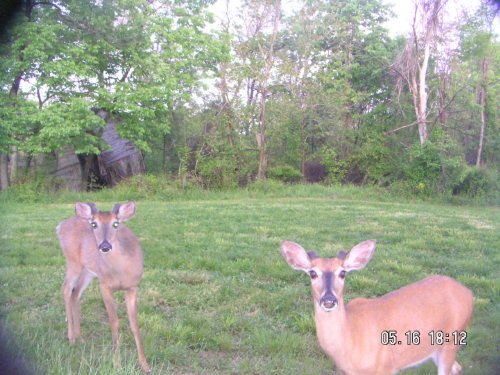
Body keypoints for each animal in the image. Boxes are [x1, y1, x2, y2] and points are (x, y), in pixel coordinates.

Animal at [57, 203, 150, 374]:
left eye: (116, 223)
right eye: (94, 224)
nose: (104, 246)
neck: (121, 271)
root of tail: (60, 225)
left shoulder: (133, 287)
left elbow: (134, 324)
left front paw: (144, 364)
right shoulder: (104, 285)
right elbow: (114, 322)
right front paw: (117, 364)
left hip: (88, 270)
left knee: (75, 293)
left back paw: (80, 337)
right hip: (73, 261)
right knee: (66, 288)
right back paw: (71, 337)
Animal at [282, 241, 472, 375]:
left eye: (343, 272)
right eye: (312, 273)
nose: (329, 300)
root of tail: (469, 293)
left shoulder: (385, 368)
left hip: (452, 340)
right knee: (457, 368)